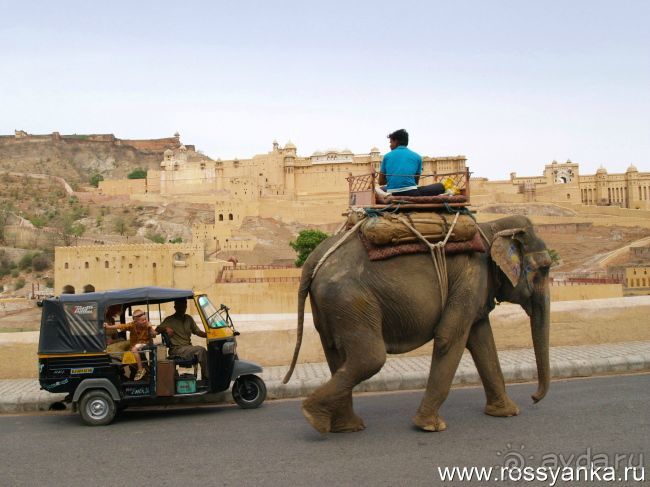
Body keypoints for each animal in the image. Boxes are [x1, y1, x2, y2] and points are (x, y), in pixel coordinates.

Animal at [280, 216, 548, 434]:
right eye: (544, 269)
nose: (534, 398)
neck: (489, 228)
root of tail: (314, 259)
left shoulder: (475, 286)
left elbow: (482, 340)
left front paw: (507, 413)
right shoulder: (471, 277)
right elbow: (449, 336)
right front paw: (430, 426)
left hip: (332, 303)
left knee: (337, 355)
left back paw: (344, 426)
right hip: (349, 298)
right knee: (370, 358)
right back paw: (313, 414)